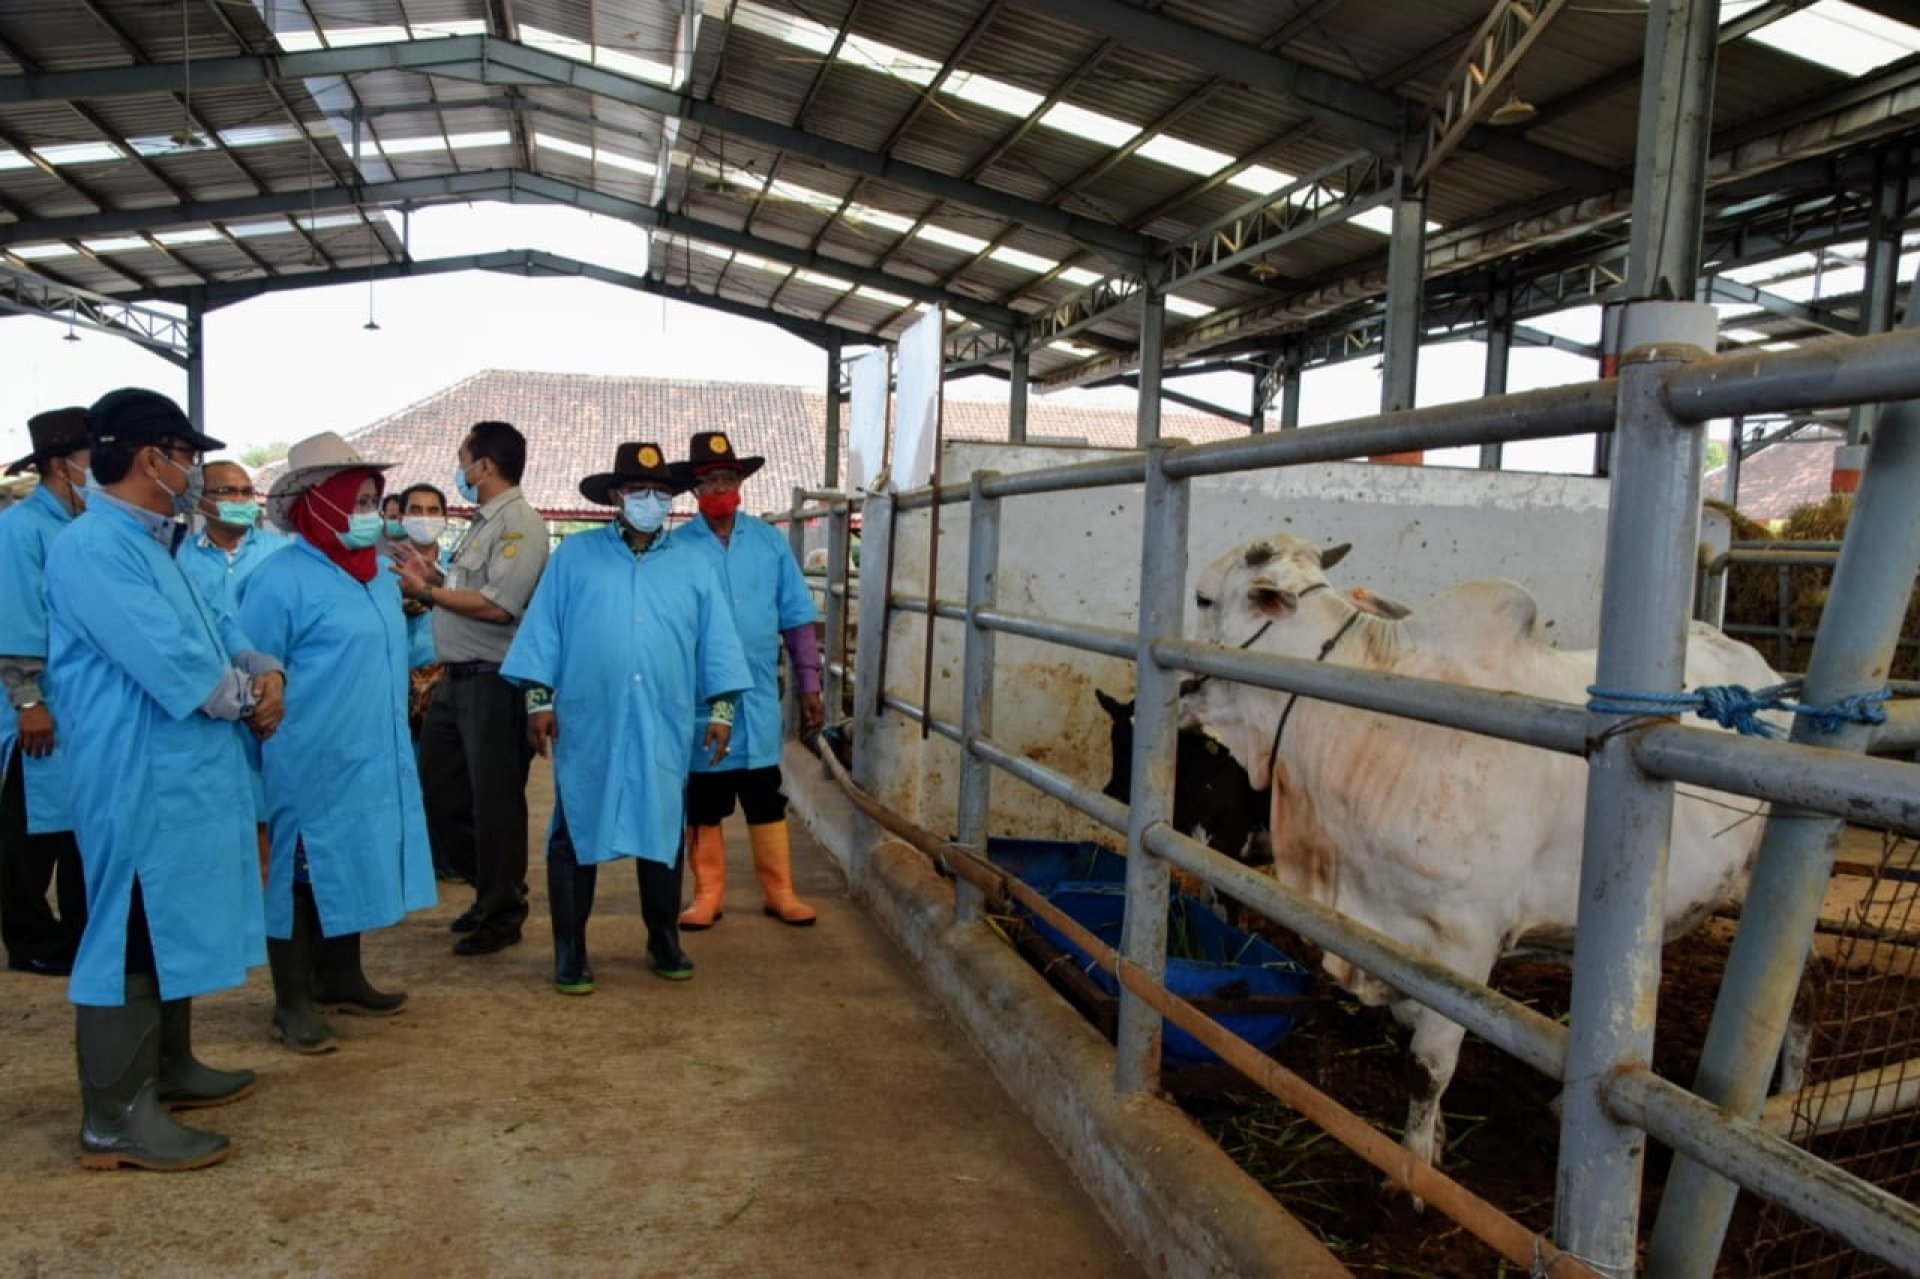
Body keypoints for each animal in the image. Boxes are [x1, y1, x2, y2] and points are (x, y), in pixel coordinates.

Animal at [1182, 526, 1781, 1167]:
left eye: (1202, 598)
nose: (1177, 687)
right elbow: (1411, 1025)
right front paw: (1439, 1132)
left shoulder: (1465, 942)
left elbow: (1429, 1063)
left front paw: (1415, 1158)